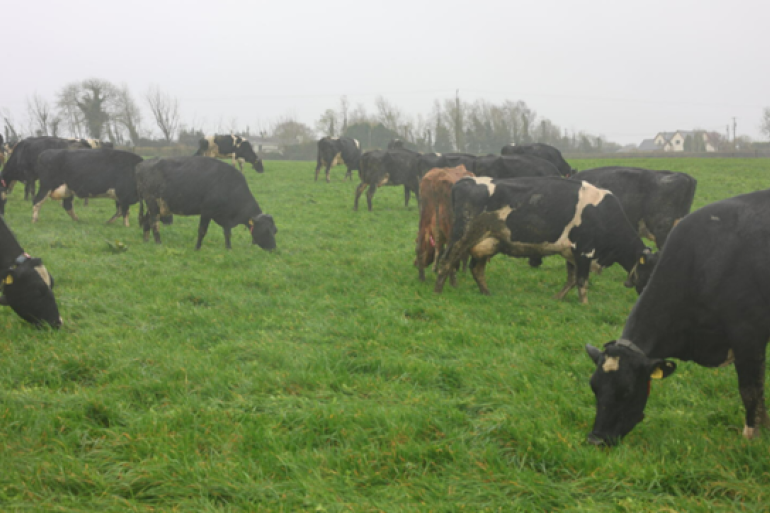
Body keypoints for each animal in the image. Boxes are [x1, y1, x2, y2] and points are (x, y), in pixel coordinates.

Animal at [136, 156, 277, 250]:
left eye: (275, 230)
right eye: (266, 231)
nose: (273, 249)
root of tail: (141, 164)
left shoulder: (225, 217)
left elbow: (227, 233)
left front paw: (228, 248)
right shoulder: (206, 212)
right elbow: (202, 231)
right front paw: (197, 248)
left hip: (155, 207)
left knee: (146, 222)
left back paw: (145, 241)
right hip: (153, 205)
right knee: (154, 224)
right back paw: (158, 244)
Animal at [434, 177, 655, 303]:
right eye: (650, 272)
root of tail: (464, 181)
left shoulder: (571, 252)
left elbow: (572, 279)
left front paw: (557, 298)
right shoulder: (584, 250)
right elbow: (582, 281)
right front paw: (585, 305)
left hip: (488, 241)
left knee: (476, 269)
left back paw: (487, 294)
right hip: (462, 235)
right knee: (446, 262)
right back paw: (438, 292)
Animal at [585, 188, 770, 446]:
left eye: (627, 391)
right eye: (594, 387)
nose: (596, 440)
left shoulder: (749, 335)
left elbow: (751, 391)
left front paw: (753, 436)